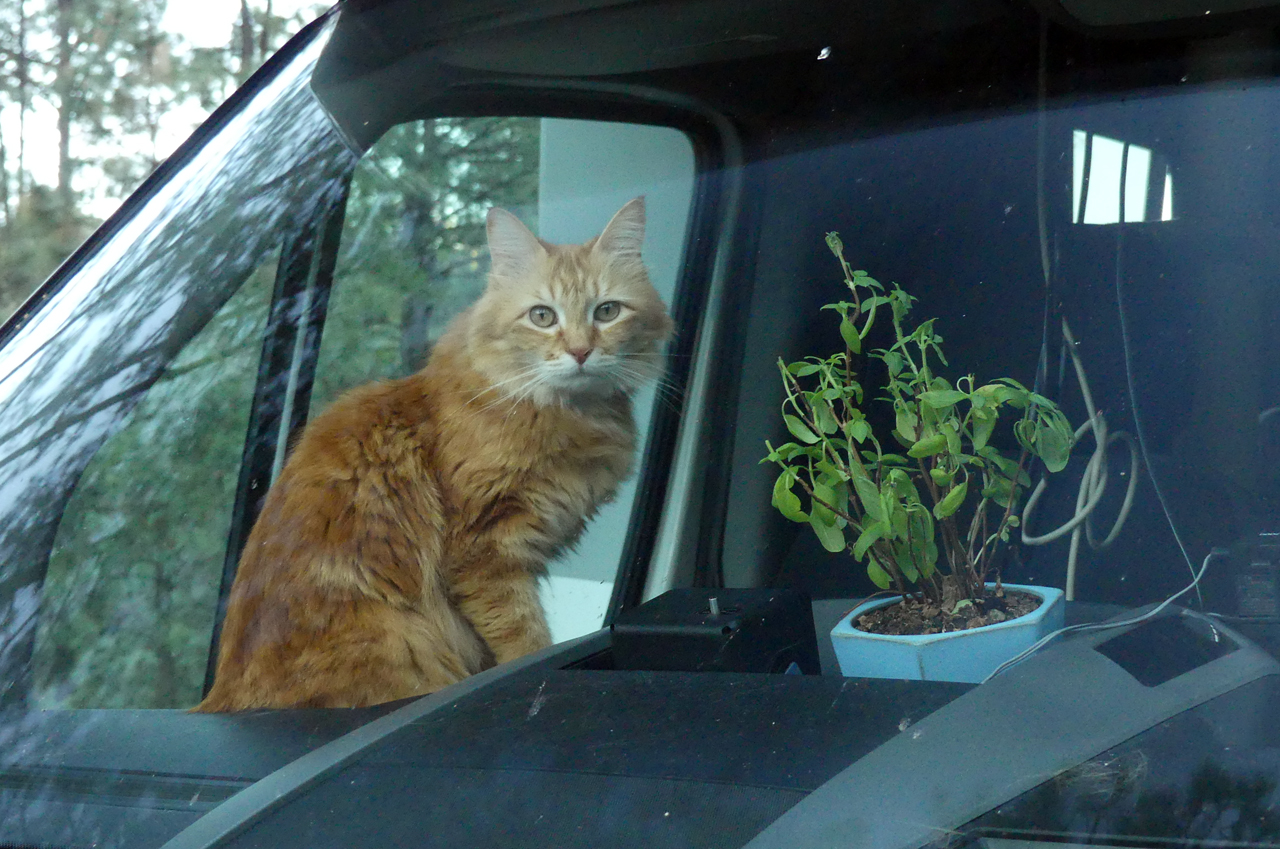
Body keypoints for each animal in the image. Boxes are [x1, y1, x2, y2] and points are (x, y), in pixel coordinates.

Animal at [197, 199, 670, 711]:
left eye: (607, 311)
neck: (561, 414)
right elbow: (522, 639)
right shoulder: (484, 550)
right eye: (543, 316)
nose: (581, 352)